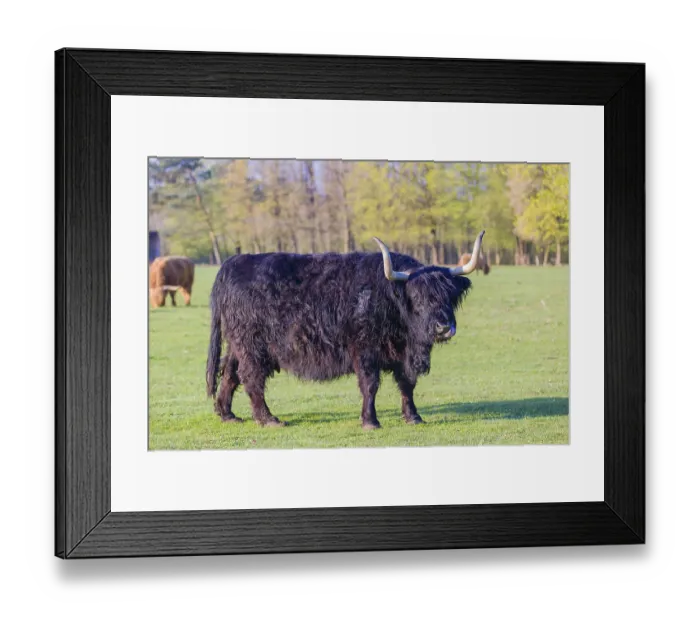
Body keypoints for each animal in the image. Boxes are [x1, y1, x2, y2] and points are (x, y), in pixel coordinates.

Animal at [206, 231, 486, 430]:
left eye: (449, 295)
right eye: (417, 297)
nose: (443, 327)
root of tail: (233, 263)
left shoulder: (402, 354)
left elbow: (407, 384)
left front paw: (413, 416)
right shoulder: (364, 348)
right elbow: (370, 384)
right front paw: (370, 421)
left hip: (237, 344)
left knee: (230, 372)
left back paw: (227, 414)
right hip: (252, 346)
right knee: (251, 377)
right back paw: (268, 419)